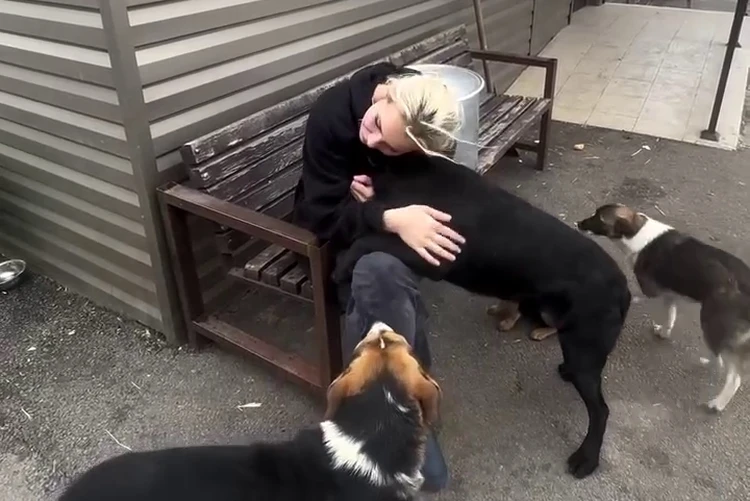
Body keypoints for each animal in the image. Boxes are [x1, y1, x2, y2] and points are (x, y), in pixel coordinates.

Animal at [333, 156, 631, 478]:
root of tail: (623, 287)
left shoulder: (434, 252)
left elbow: (364, 243)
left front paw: (340, 271)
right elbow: (367, 236)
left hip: (583, 348)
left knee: (600, 410)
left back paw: (587, 458)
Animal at [577, 203, 750, 412]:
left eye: (599, 218)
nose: (578, 223)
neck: (638, 232)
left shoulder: (652, 290)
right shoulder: (669, 294)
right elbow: (670, 315)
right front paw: (664, 332)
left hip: (712, 323)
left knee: (730, 373)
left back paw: (717, 401)